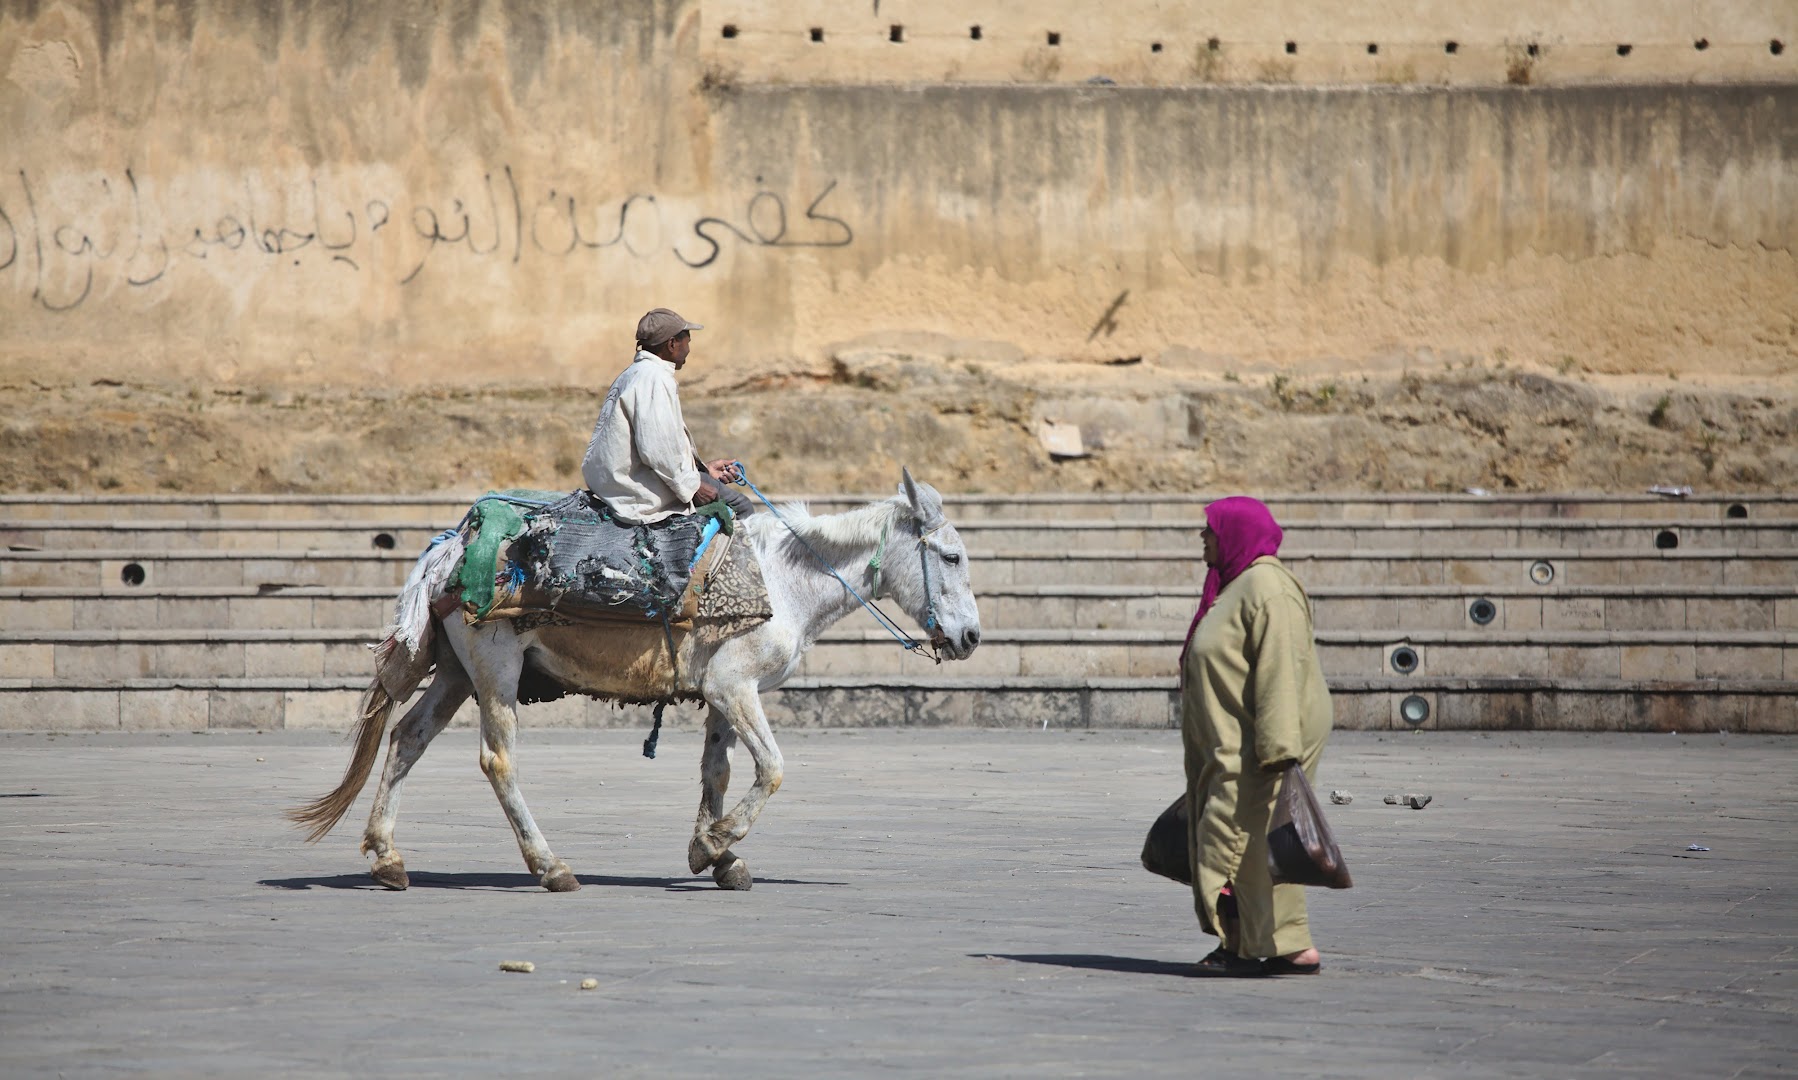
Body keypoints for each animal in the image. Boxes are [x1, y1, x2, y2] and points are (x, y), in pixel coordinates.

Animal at [289, 467, 985, 887]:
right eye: (951, 556)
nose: (971, 638)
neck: (785, 580)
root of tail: (452, 549)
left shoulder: (721, 695)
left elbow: (717, 771)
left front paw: (715, 854)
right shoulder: (737, 689)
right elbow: (774, 769)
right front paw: (720, 841)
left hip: (457, 671)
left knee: (408, 737)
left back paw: (388, 858)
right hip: (494, 668)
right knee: (497, 759)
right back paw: (550, 866)